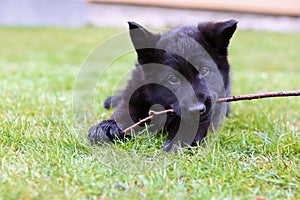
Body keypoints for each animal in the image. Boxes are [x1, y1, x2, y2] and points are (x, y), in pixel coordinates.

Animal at [88, 20, 238, 152]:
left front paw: (180, 140)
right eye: (172, 79)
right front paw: (107, 126)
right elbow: (124, 109)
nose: (197, 109)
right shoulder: (137, 93)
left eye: (204, 71)